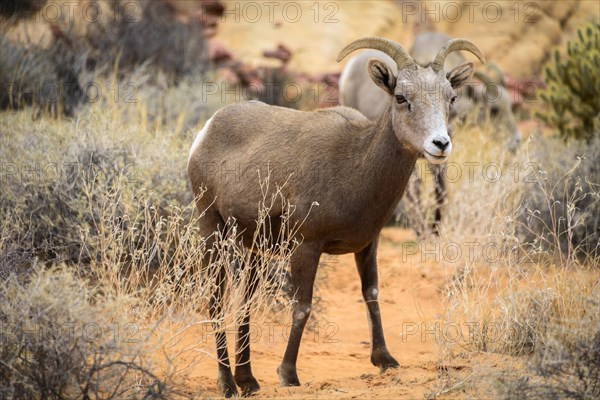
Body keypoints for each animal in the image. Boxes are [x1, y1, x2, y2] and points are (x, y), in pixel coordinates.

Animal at [190, 36, 486, 396]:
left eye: (450, 98)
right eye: (401, 98)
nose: (440, 144)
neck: (354, 165)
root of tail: (206, 132)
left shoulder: (368, 244)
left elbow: (371, 294)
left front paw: (385, 360)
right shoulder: (306, 246)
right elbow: (302, 307)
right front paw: (288, 374)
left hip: (253, 249)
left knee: (244, 303)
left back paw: (248, 381)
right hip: (212, 230)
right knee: (216, 300)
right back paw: (227, 384)